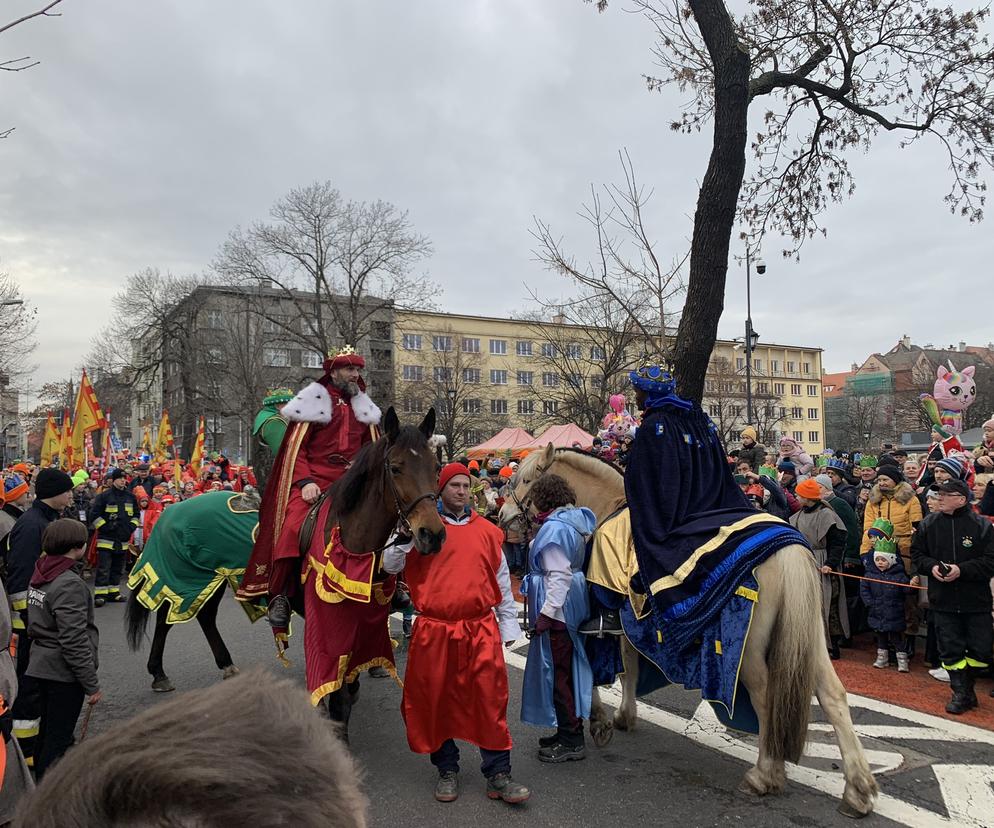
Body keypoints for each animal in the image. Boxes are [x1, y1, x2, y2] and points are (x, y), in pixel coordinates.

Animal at [500, 444, 872, 820]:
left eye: (524, 480)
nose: (502, 515)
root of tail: (790, 549)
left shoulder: (598, 617)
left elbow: (593, 670)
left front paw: (599, 721)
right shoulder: (631, 623)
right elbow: (630, 668)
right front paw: (624, 716)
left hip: (749, 650)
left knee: (766, 698)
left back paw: (765, 773)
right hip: (810, 638)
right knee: (833, 696)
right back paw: (857, 791)